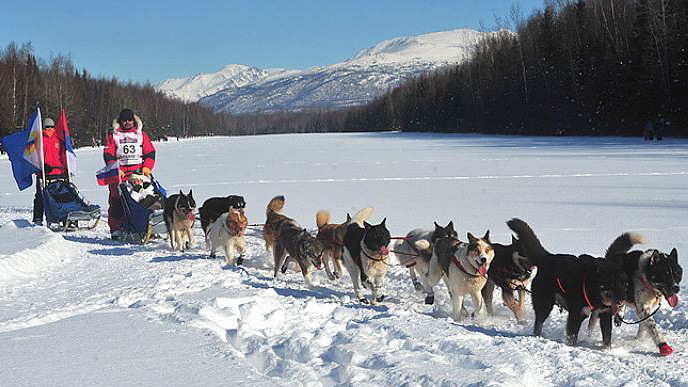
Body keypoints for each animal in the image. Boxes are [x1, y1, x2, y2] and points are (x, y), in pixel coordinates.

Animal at [506, 218, 628, 348]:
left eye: (624, 284)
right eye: (612, 284)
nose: (623, 299)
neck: (591, 287)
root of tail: (547, 257)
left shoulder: (605, 314)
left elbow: (607, 338)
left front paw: (607, 350)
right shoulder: (576, 315)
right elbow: (572, 337)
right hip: (544, 304)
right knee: (538, 322)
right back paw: (537, 336)